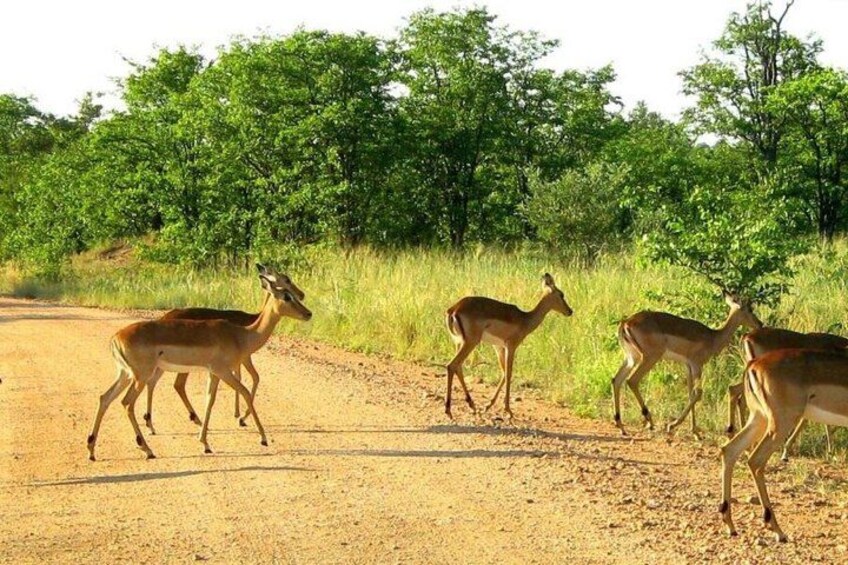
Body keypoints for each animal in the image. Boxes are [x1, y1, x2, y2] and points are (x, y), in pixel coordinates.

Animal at [86, 267, 312, 460]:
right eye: (286, 295)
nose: (308, 313)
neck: (241, 334)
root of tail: (116, 338)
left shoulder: (214, 373)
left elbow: (209, 400)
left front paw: (205, 443)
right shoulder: (224, 371)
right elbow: (246, 391)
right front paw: (262, 437)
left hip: (125, 374)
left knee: (105, 398)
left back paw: (92, 450)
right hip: (141, 376)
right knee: (127, 402)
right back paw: (147, 449)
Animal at [444, 273, 573, 419]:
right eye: (561, 294)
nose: (570, 311)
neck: (525, 319)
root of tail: (454, 309)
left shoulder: (499, 347)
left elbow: (504, 373)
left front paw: (489, 406)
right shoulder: (511, 346)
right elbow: (509, 373)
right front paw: (508, 410)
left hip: (459, 342)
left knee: (458, 367)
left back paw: (472, 405)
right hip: (470, 342)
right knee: (451, 365)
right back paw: (449, 410)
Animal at [611, 293, 762, 438]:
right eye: (749, 309)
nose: (760, 324)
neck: (713, 337)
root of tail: (626, 323)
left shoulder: (688, 366)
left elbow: (690, 394)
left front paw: (695, 432)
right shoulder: (697, 365)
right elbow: (698, 393)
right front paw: (672, 426)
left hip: (631, 358)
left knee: (616, 380)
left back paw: (621, 426)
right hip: (649, 358)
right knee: (632, 380)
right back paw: (649, 421)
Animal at [720, 348, 848, 542]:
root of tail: (754, 364)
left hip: (759, 418)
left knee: (730, 450)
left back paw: (730, 525)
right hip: (779, 424)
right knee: (755, 460)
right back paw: (777, 530)